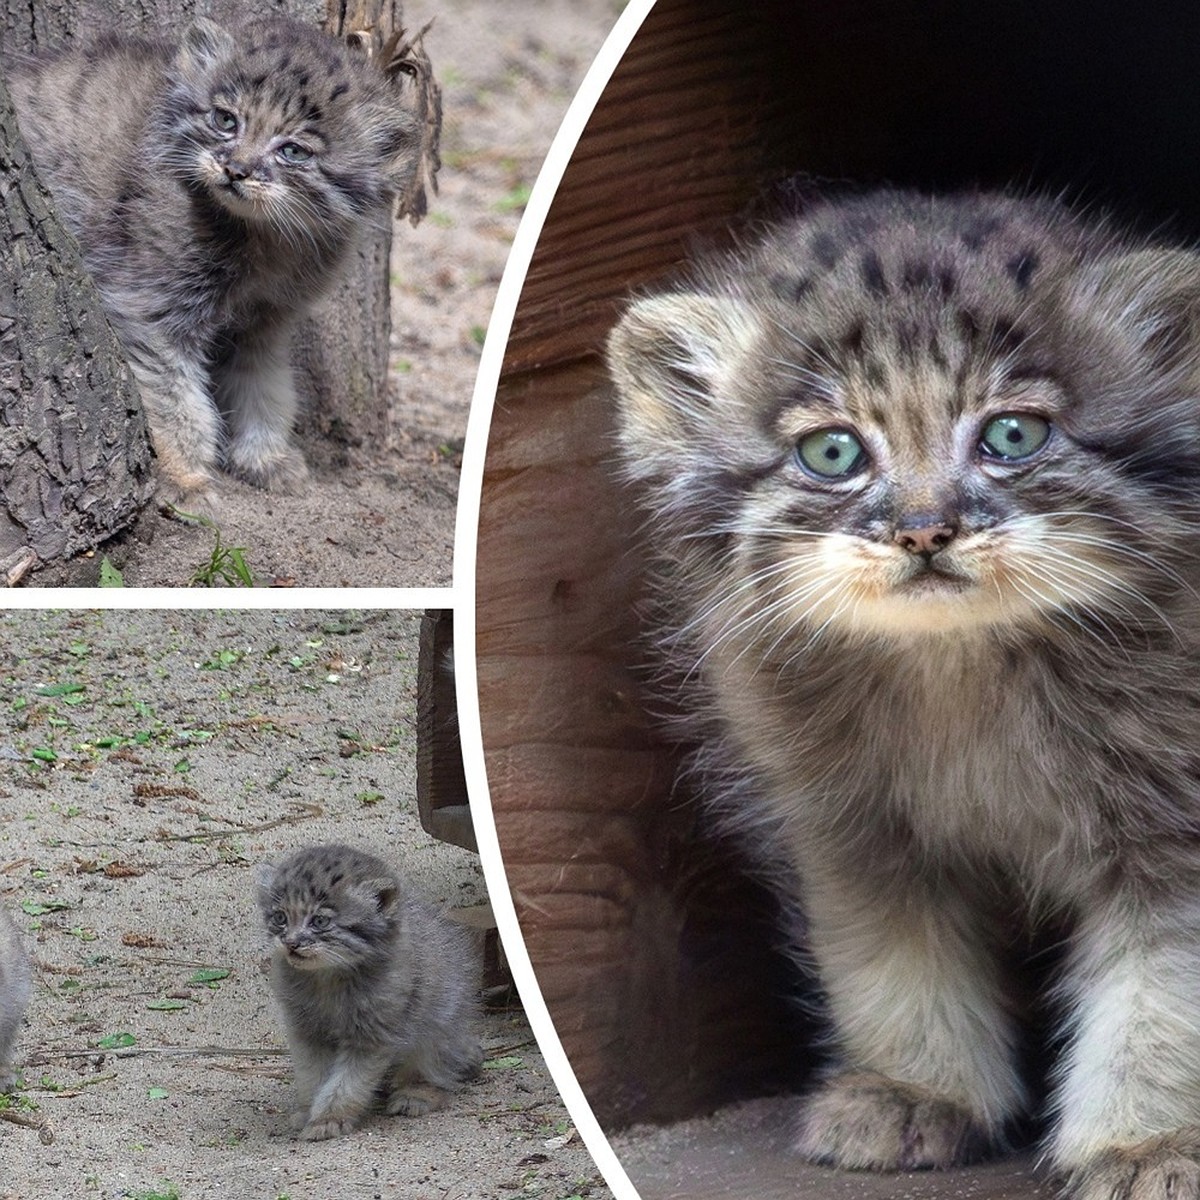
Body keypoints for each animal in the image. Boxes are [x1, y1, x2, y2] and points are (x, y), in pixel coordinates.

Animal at [2, 16, 427, 508]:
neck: (267, 240)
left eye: (293, 151)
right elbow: (174, 399)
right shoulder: (150, 307)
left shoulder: (266, 321)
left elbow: (265, 386)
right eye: (225, 120)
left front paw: (265, 457)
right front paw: (182, 476)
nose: (236, 169)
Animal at [255, 840, 480, 1137]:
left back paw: (416, 1093)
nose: (291, 943)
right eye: (280, 917)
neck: (328, 978)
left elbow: (348, 1083)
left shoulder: (373, 1033)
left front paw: (329, 1118)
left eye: (319, 921)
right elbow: (312, 1076)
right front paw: (309, 1111)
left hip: (438, 1024)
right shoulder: (306, 1029)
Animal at [614, 189, 1200, 1200]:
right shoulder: (853, 825)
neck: (961, 674)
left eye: (1013, 435)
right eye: (833, 451)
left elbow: (1161, 997)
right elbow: (893, 962)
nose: (926, 530)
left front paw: (1149, 1143)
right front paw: (914, 1090)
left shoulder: (1174, 824)